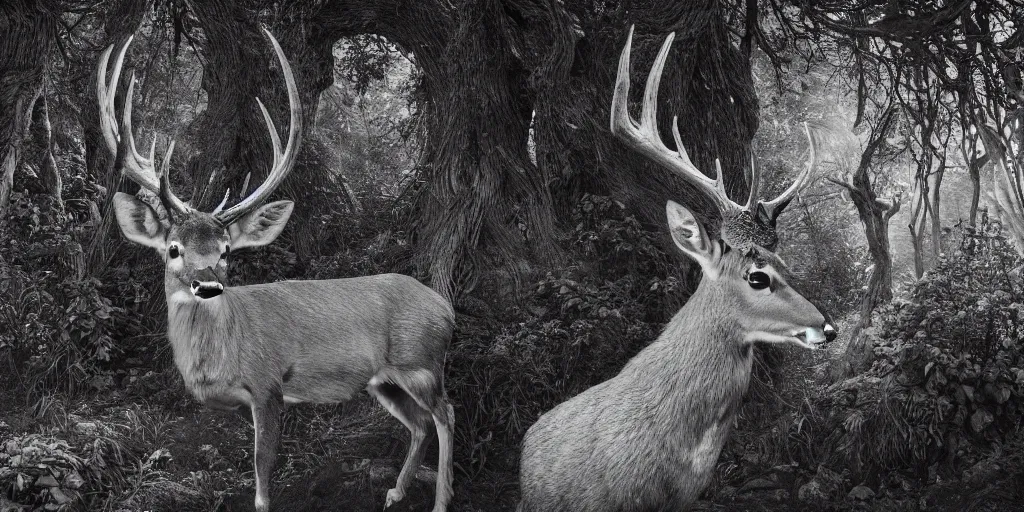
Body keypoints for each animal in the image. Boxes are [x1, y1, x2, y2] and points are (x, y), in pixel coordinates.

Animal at [96, 29, 456, 512]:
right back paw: (396, 491)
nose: (207, 284)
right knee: (419, 423)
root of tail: (446, 308)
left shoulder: (268, 384)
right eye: (173, 248)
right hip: (385, 380)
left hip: (421, 361)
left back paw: (439, 500)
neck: (217, 359)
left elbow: (262, 467)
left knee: (446, 414)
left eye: (227, 250)